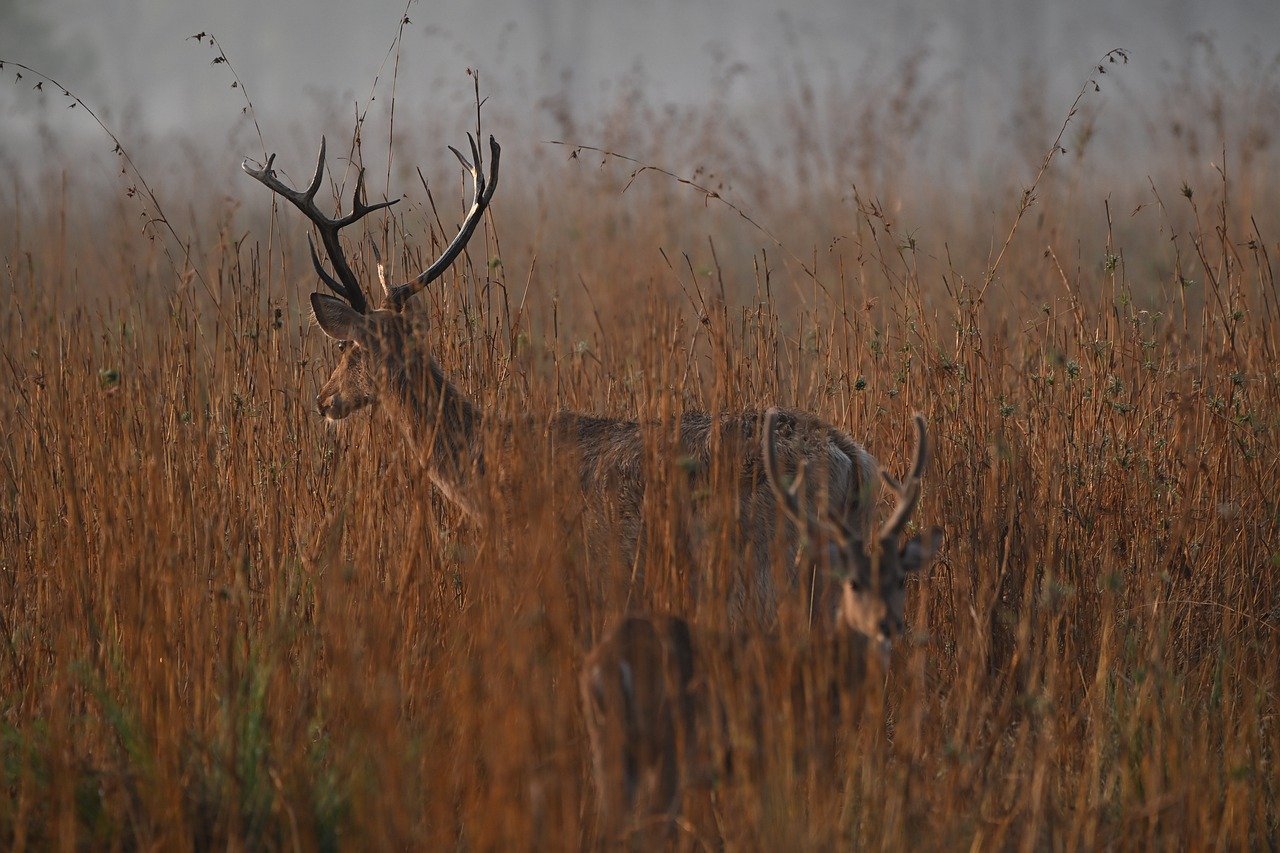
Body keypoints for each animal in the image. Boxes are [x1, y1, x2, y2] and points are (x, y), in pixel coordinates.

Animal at [579, 409, 942, 845]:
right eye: (853, 582)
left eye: (900, 579)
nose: (887, 624)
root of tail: (605, 666)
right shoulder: (788, 747)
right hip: (667, 746)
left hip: (616, 750)